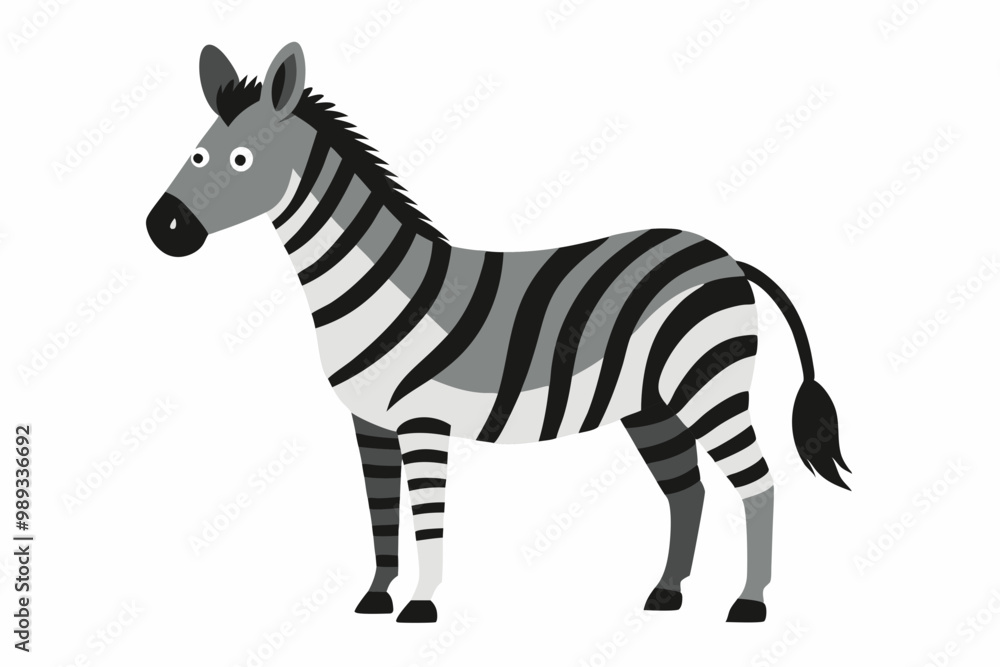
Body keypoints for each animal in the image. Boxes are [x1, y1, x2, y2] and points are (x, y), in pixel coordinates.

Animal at [147, 43, 851, 624]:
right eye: (197, 153)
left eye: (240, 160)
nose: (162, 229)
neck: (374, 285)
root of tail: (727, 258)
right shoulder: (369, 423)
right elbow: (381, 517)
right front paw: (376, 598)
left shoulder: (423, 424)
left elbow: (427, 519)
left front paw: (421, 606)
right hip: (650, 407)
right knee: (687, 490)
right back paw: (666, 594)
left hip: (711, 389)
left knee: (756, 483)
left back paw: (749, 604)